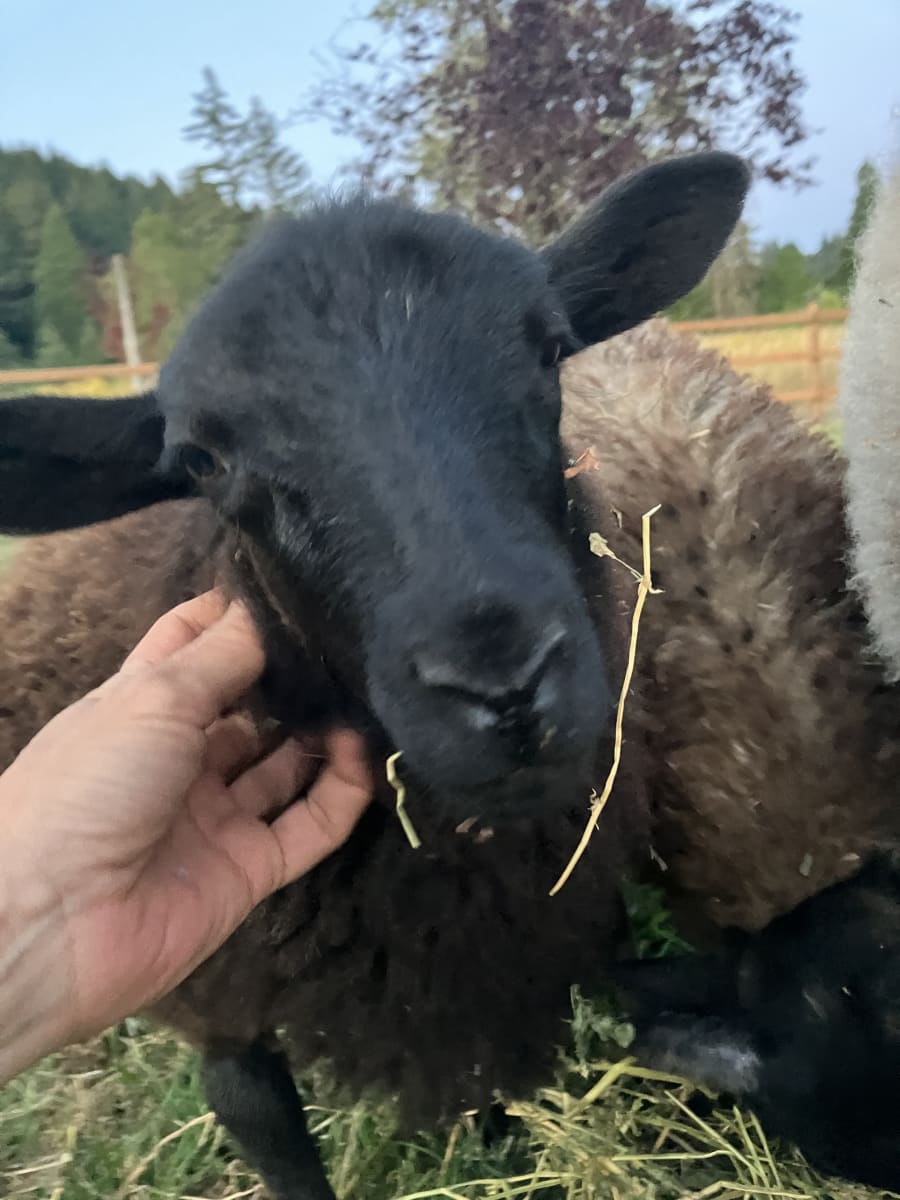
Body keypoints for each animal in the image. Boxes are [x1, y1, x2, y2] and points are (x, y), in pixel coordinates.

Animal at [2, 156, 897, 1193]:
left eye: (550, 350)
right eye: (201, 461)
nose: (504, 688)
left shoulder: (511, 971)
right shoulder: (221, 1012)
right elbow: (265, 1121)